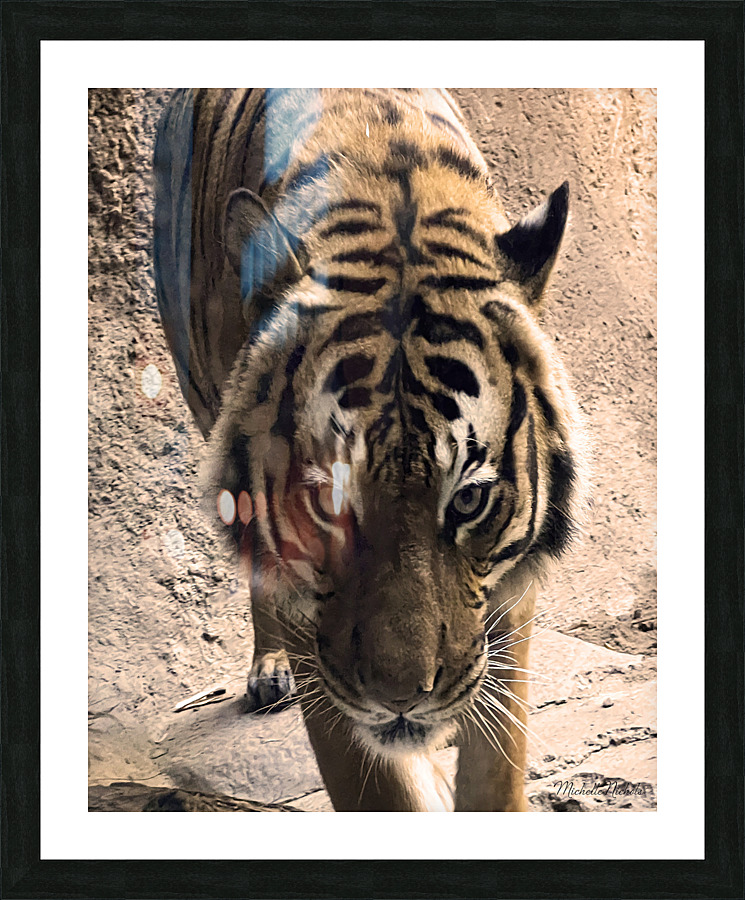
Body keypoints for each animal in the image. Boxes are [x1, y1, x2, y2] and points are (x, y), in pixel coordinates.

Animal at [153, 88, 587, 811]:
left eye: (468, 500)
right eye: (327, 499)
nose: (402, 700)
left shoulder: (504, 593)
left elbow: (496, 762)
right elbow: (375, 782)